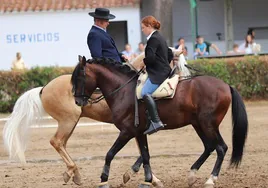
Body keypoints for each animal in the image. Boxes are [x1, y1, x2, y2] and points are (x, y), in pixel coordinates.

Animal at [71, 56, 249, 187]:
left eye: (80, 77)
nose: (78, 102)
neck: (123, 90)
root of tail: (226, 85)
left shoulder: (127, 132)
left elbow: (110, 153)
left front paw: (104, 179)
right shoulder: (139, 132)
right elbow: (145, 155)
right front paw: (147, 180)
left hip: (208, 124)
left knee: (221, 148)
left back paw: (211, 180)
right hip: (198, 124)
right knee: (209, 146)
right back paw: (192, 175)